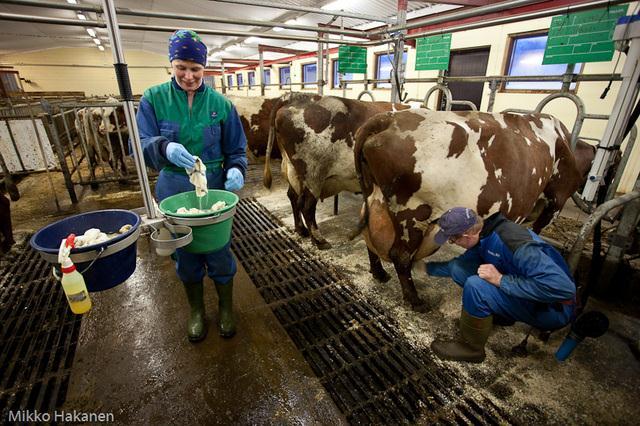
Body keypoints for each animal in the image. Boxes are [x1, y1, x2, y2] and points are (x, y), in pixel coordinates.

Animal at [264, 91, 410, 248]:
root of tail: (295, 96)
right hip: (313, 174)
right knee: (306, 205)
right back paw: (319, 240)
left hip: (293, 171)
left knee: (293, 196)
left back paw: (301, 230)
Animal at [352, 108, 588, 312]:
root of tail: (387, 119)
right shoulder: (555, 201)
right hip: (412, 214)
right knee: (400, 255)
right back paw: (416, 301)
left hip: (375, 199)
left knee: (370, 237)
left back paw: (380, 273)